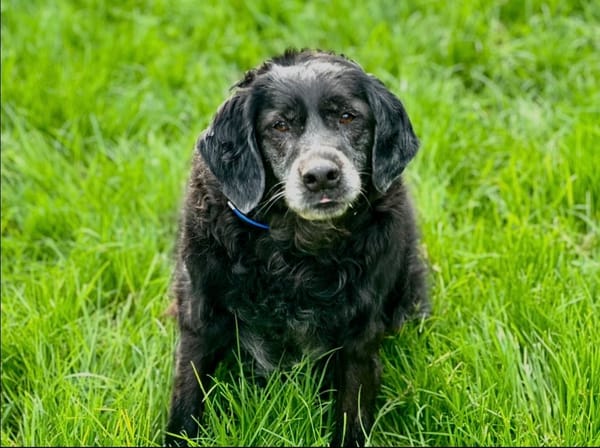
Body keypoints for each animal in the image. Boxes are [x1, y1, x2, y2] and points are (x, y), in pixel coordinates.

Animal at [165, 49, 429, 447]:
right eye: (279, 126)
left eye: (348, 116)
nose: (321, 175)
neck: (295, 250)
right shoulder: (201, 316)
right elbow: (186, 400)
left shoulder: (359, 335)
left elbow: (352, 414)